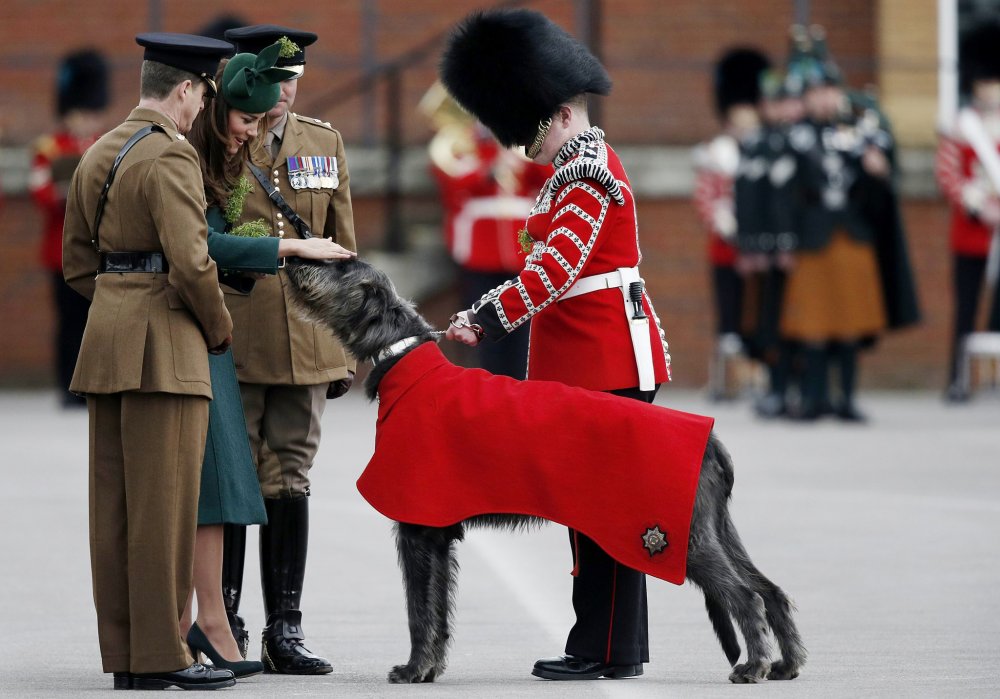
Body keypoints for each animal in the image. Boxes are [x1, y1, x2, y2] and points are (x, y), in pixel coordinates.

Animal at [282, 258, 804, 684]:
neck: (405, 358)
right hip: (714, 528)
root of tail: (711, 440)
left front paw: (412, 669)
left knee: (747, 596)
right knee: (771, 590)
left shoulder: (418, 526)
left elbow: (418, 608)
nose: (293, 259)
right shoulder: (439, 534)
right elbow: (440, 608)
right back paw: (787, 664)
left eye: (341, 266)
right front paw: (430, 668)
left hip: (679, 537)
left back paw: (754, 666)